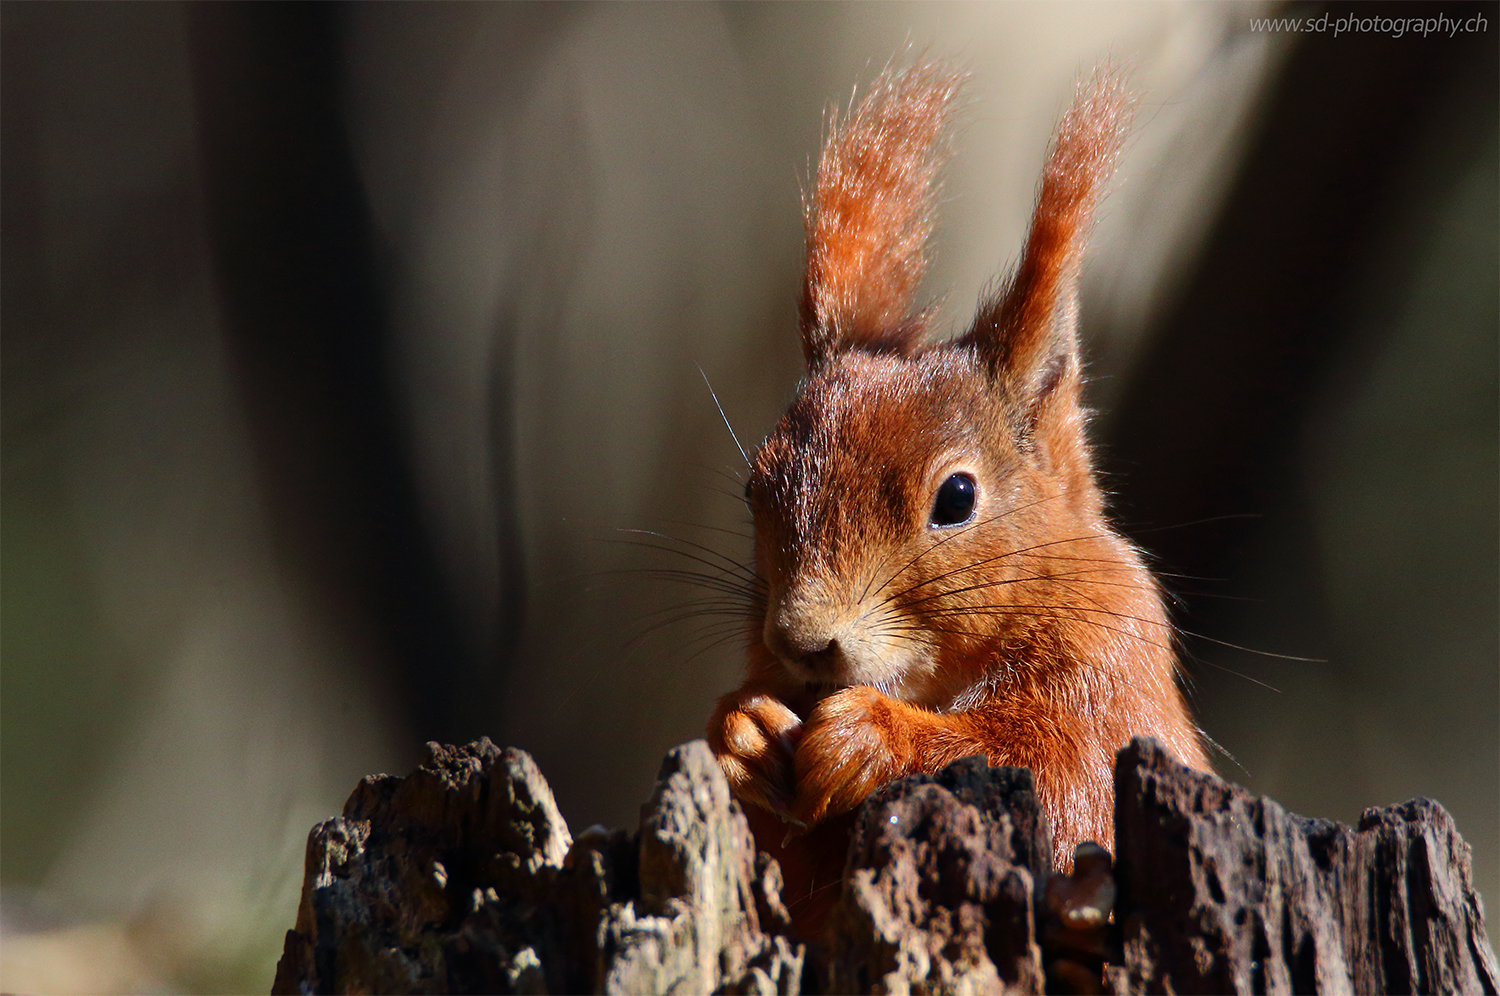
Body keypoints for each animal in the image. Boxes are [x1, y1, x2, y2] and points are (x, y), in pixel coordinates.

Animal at [708, 64, 1212, 936]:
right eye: (753, 487)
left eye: (957, 497)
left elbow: (1059, 779)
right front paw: (743, 729)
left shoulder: (1113, 683)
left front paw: (871, 737)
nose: (802, 642)